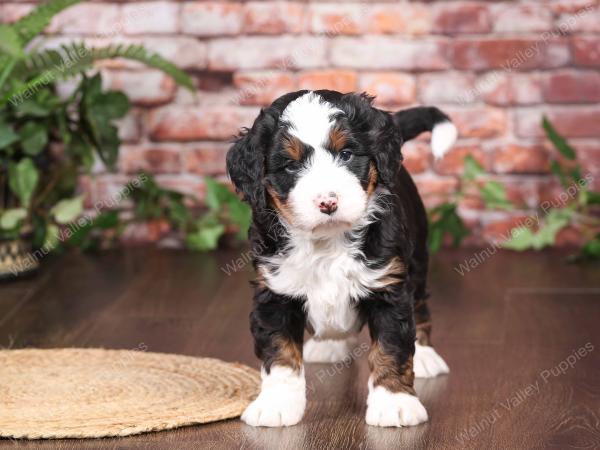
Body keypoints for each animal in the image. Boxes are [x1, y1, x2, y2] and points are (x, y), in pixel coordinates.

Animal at [227, 89, 452, 428]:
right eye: (290, 166)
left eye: (346, 154)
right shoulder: (275, 293)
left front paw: (395, 403)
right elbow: (280, 353)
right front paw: (276, 404)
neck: (326, 242)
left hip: (416, 257)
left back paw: (426, 354)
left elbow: (391, 347)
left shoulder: (387, 287)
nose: (328, 202)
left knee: (420, 303)